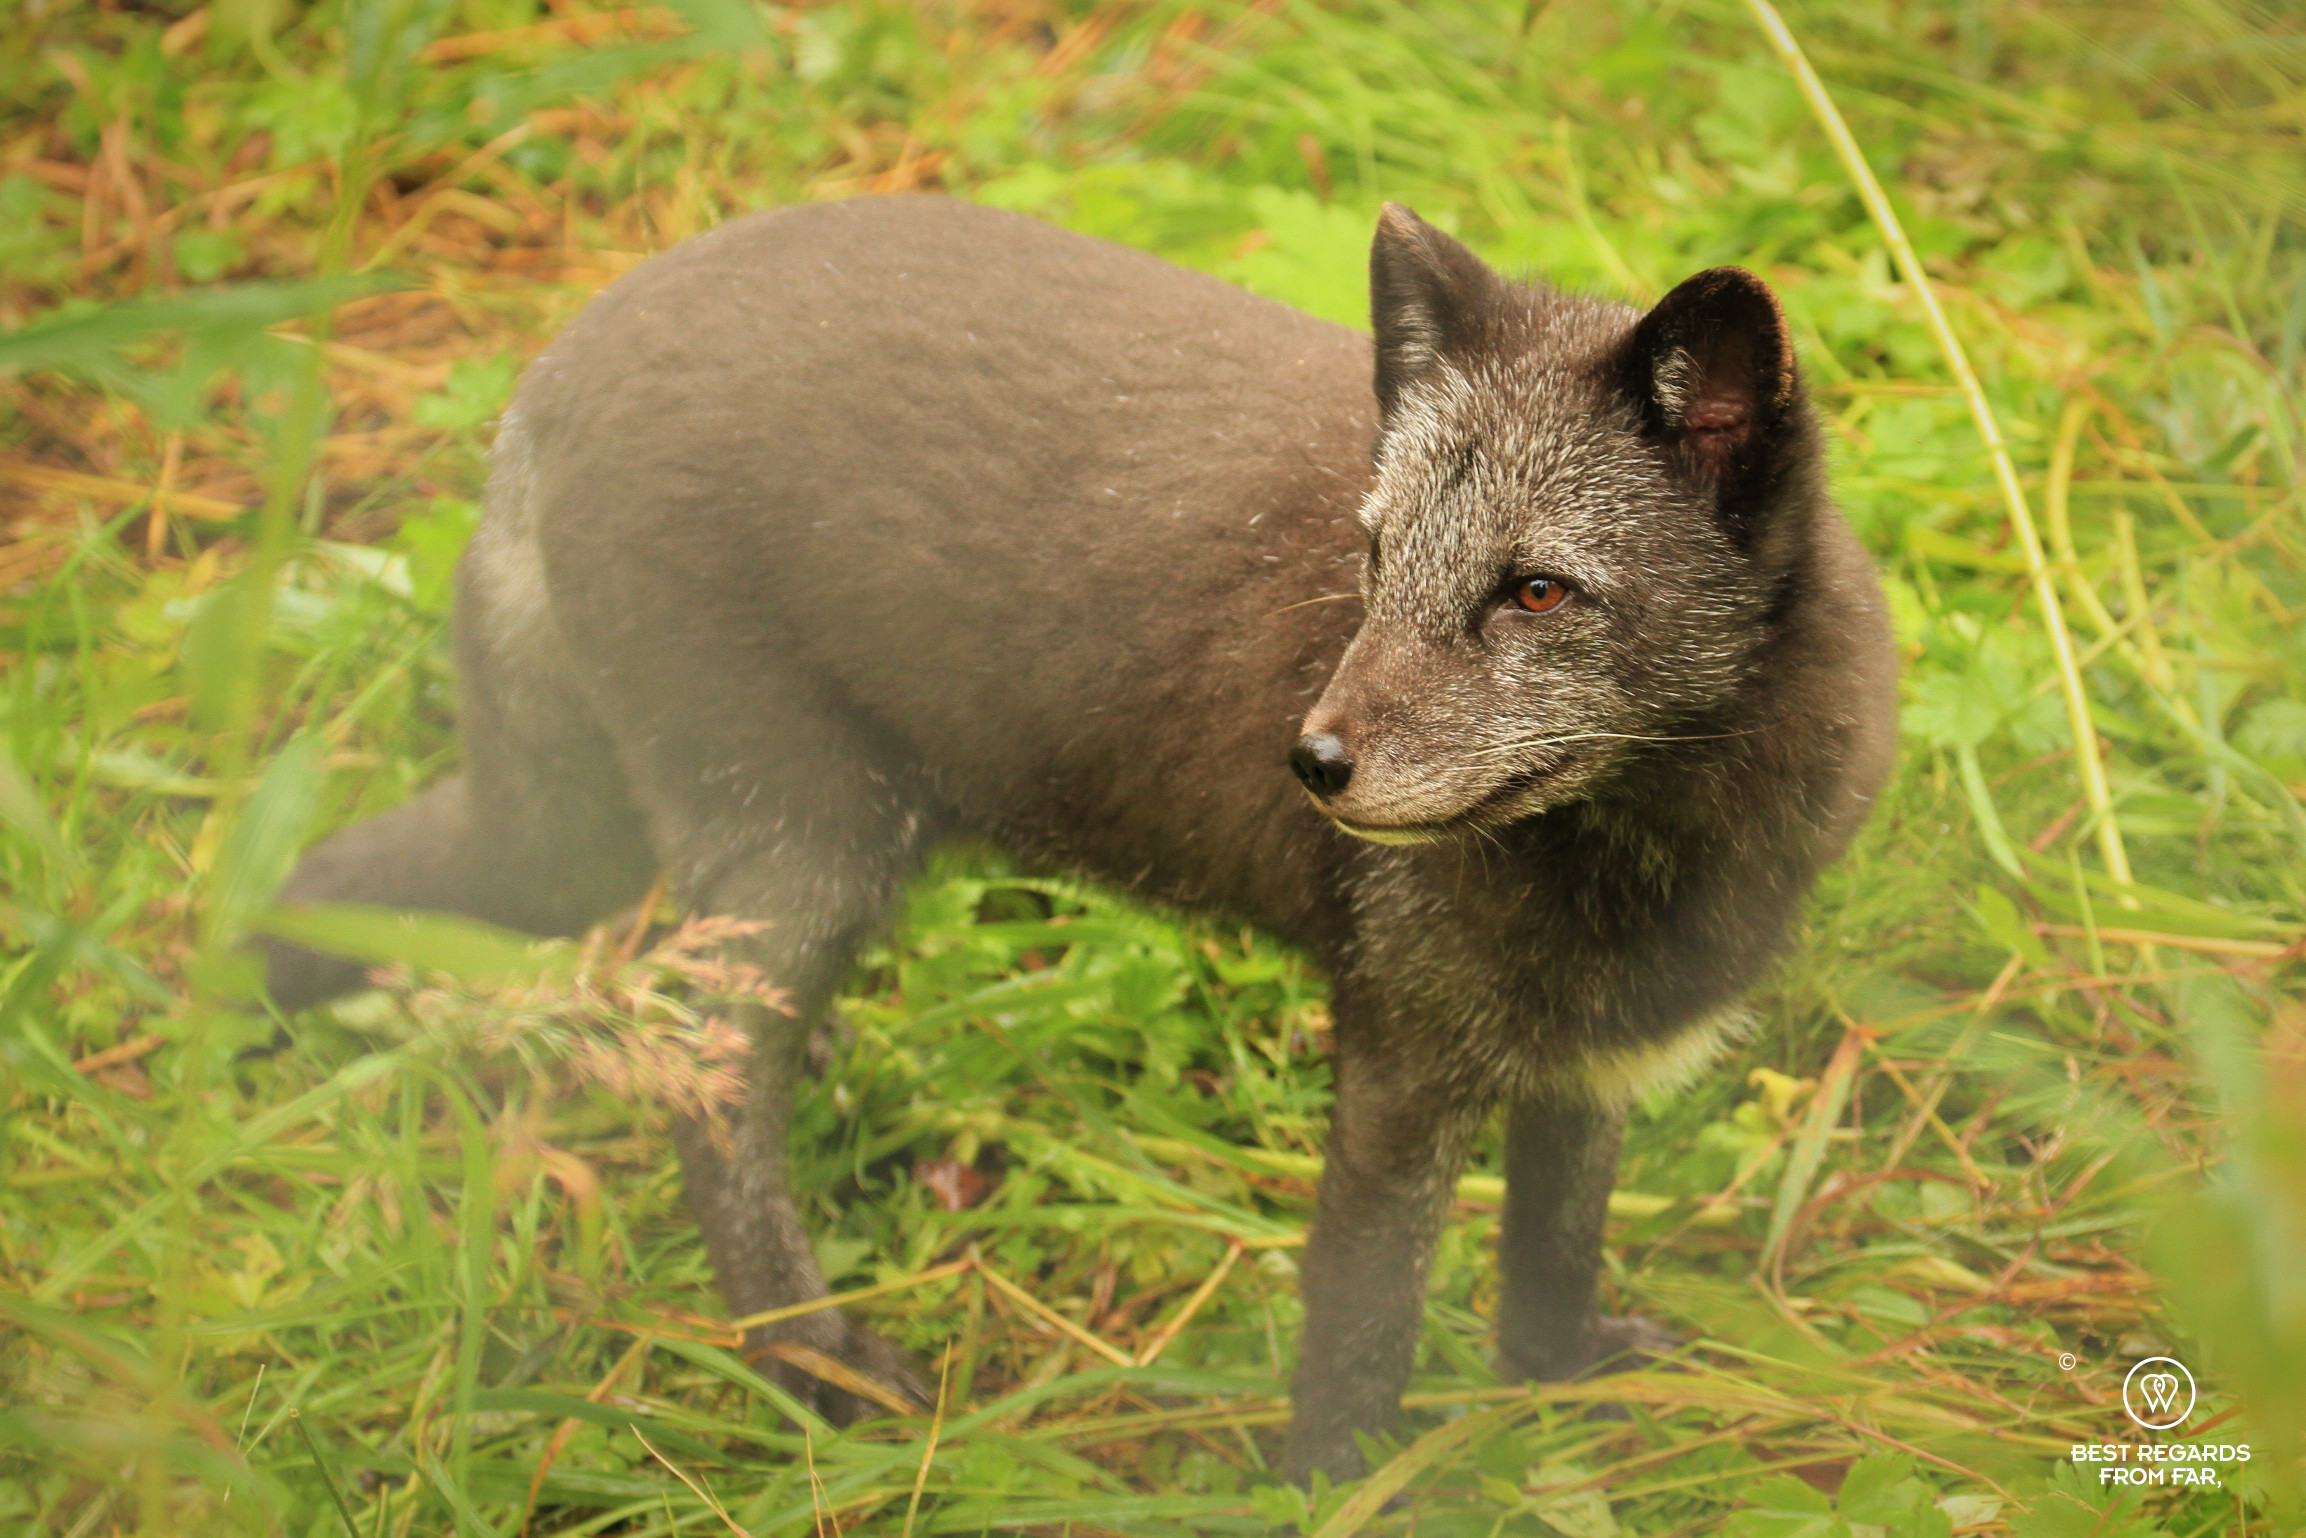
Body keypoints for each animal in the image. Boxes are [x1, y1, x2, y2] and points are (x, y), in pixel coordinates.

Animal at [264, 193, 1898, 1482]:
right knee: (692, 1069)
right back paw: (810, 1363)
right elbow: (1358, 1337)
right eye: (1371, 561)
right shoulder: (1396, 1072)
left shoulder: (1590, 1061)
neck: (1652, 851)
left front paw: (1553, 1383)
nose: (1308, 762)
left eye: (1538, 590)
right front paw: (1339, 1490)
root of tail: (563, 359)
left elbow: (1550, 1255)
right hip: (793, 845)